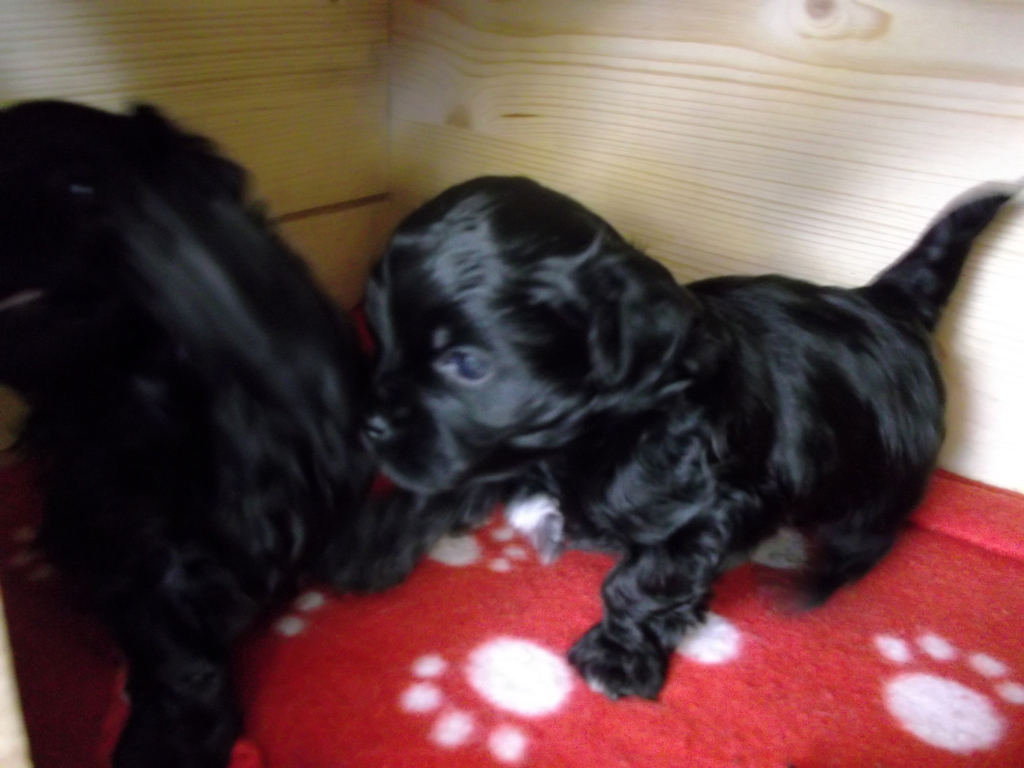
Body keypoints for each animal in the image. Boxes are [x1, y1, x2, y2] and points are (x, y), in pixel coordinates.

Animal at [362, 175, 1018, 700]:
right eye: (378, 334)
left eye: (466, 363)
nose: (369, 426)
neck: (581, 438)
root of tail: (886, 301)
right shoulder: (494, 449)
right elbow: (442, 483)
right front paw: (370, 545)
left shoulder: (709, 505)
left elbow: (641, 583)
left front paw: (617, 659)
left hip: (887, 471)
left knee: (869, 533)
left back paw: (816, 577)